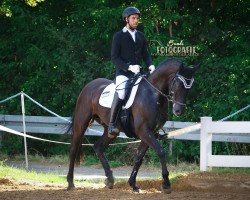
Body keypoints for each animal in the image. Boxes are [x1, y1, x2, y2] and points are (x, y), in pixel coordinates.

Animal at [66, 57, 199, 194]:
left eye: (189, 87)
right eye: (177, 83)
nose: (178, 111)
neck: (153, 95)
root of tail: (88, 86)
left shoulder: (150, 132)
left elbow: (139, 157)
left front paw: (133, 184)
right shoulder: (144, 131)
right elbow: (161, 152)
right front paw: (166, 184)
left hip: (110, 131)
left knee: (98, 147)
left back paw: (110, 180)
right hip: (81, 123)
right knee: (73, 149)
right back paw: (70, 183)